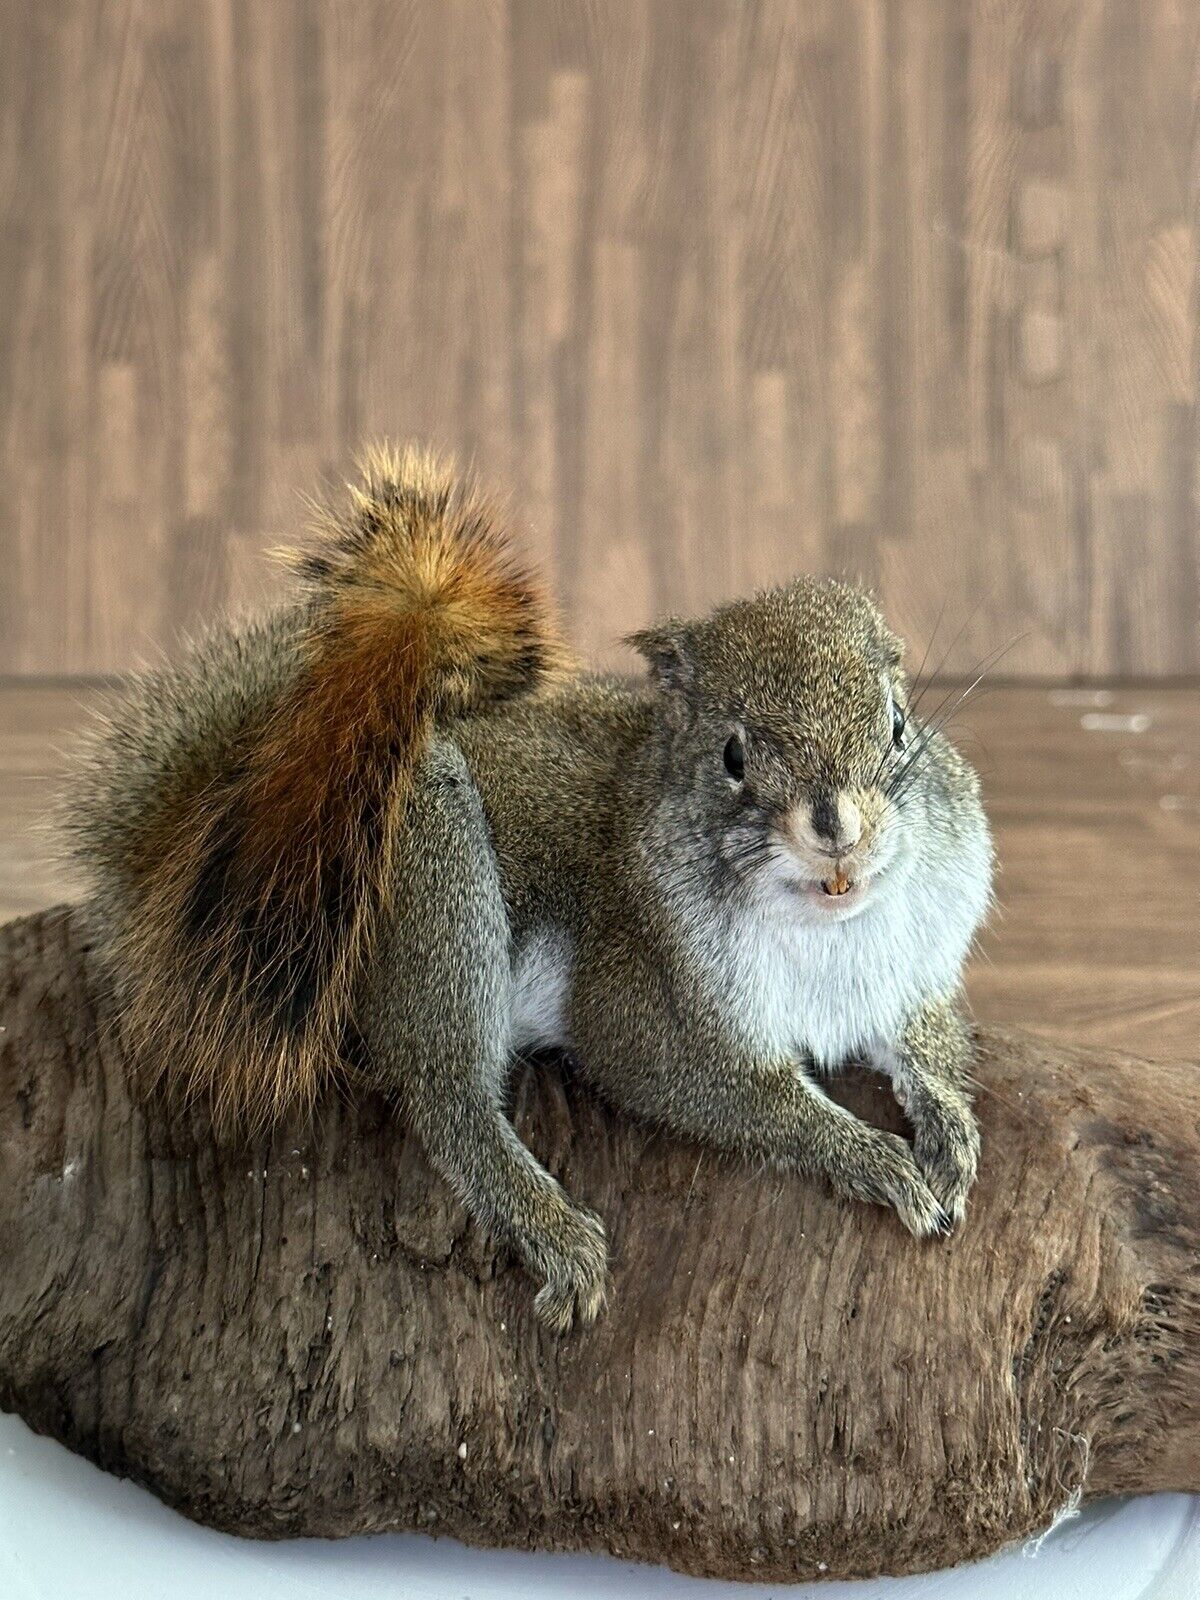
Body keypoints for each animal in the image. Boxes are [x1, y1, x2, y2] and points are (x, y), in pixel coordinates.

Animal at [63, 444, 998, 1331]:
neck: (829, 928)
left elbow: (922, 1038)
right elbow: (739, 1096)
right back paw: (544, 1221)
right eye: (733, 756)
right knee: (445, 1095)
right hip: (431, 875)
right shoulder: (642, 1011)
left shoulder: (902, 969)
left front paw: (947, 1121)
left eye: (899, 723)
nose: (838, 828)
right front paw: (870, 1158)